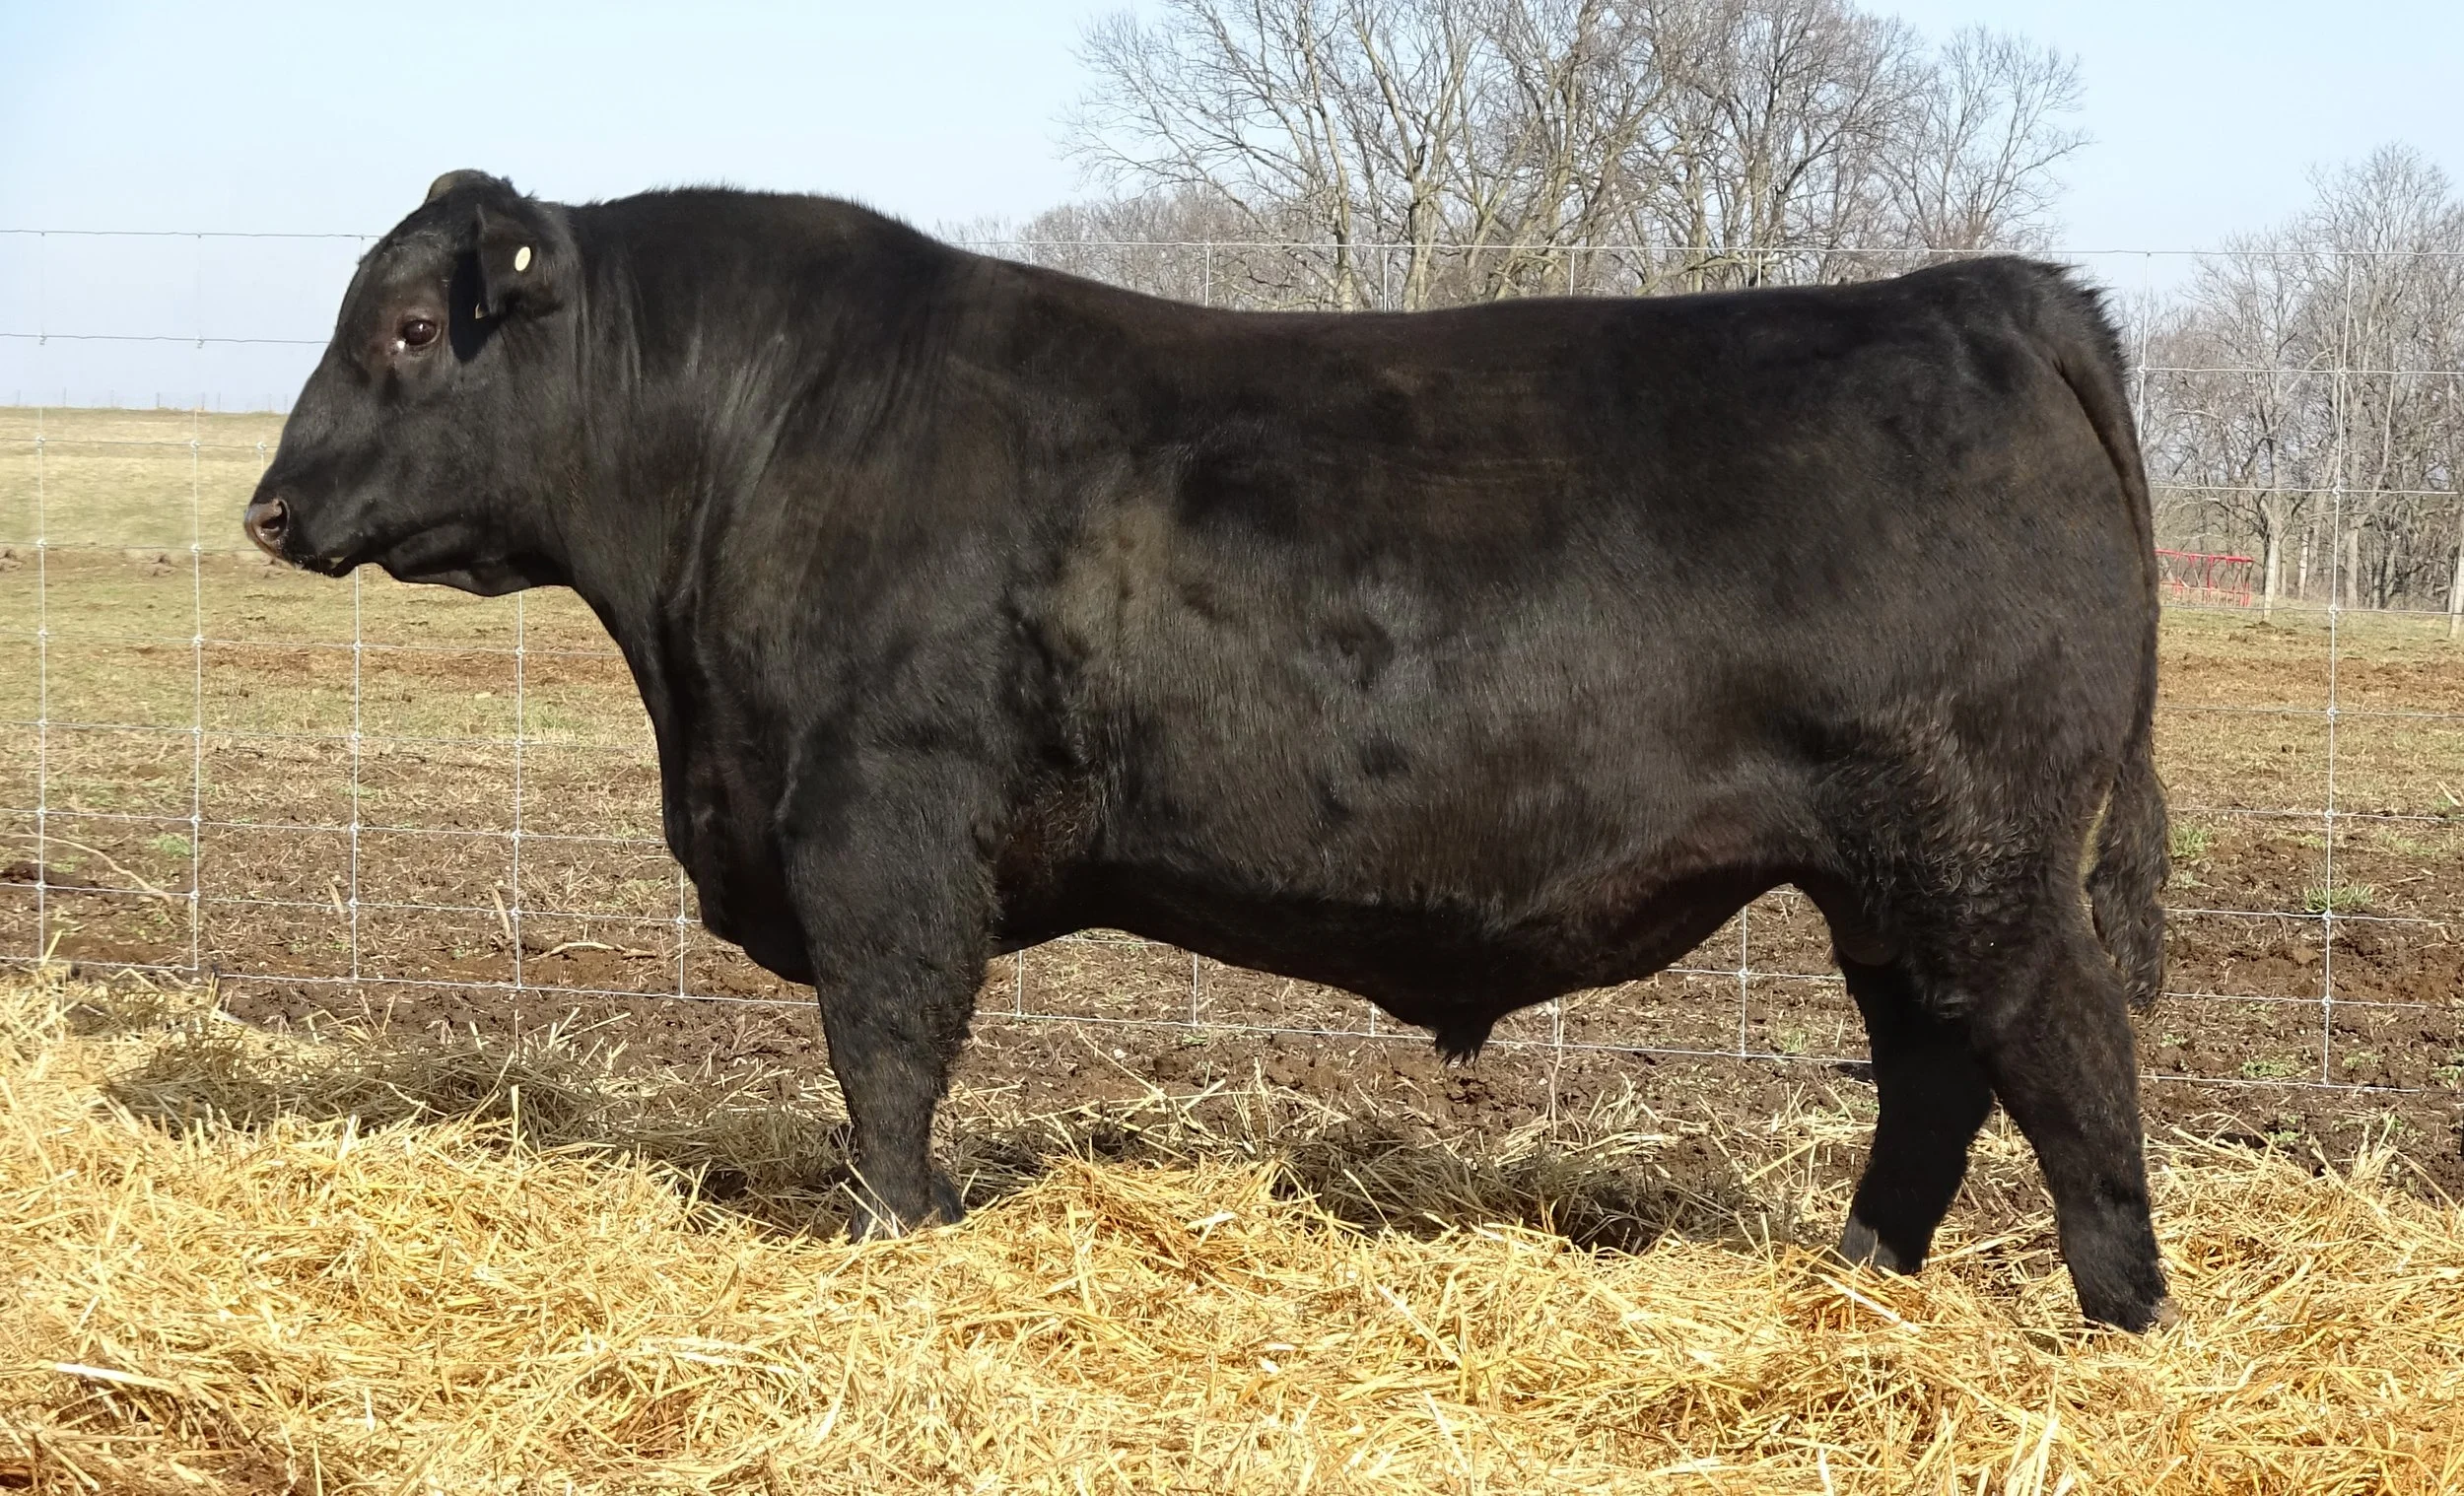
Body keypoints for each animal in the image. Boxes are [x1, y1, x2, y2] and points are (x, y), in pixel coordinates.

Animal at [246, 170, 2173, 1330]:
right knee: (1935, 1065)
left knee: (2066, 1051)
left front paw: (891, 1233)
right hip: (1888, 869)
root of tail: (1983, 297)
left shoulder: (882, 816)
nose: (269, 506)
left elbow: (886, 1043)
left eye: (408, 329)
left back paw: (2121, 1316)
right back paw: (1862, 1279)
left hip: (1981, 842)